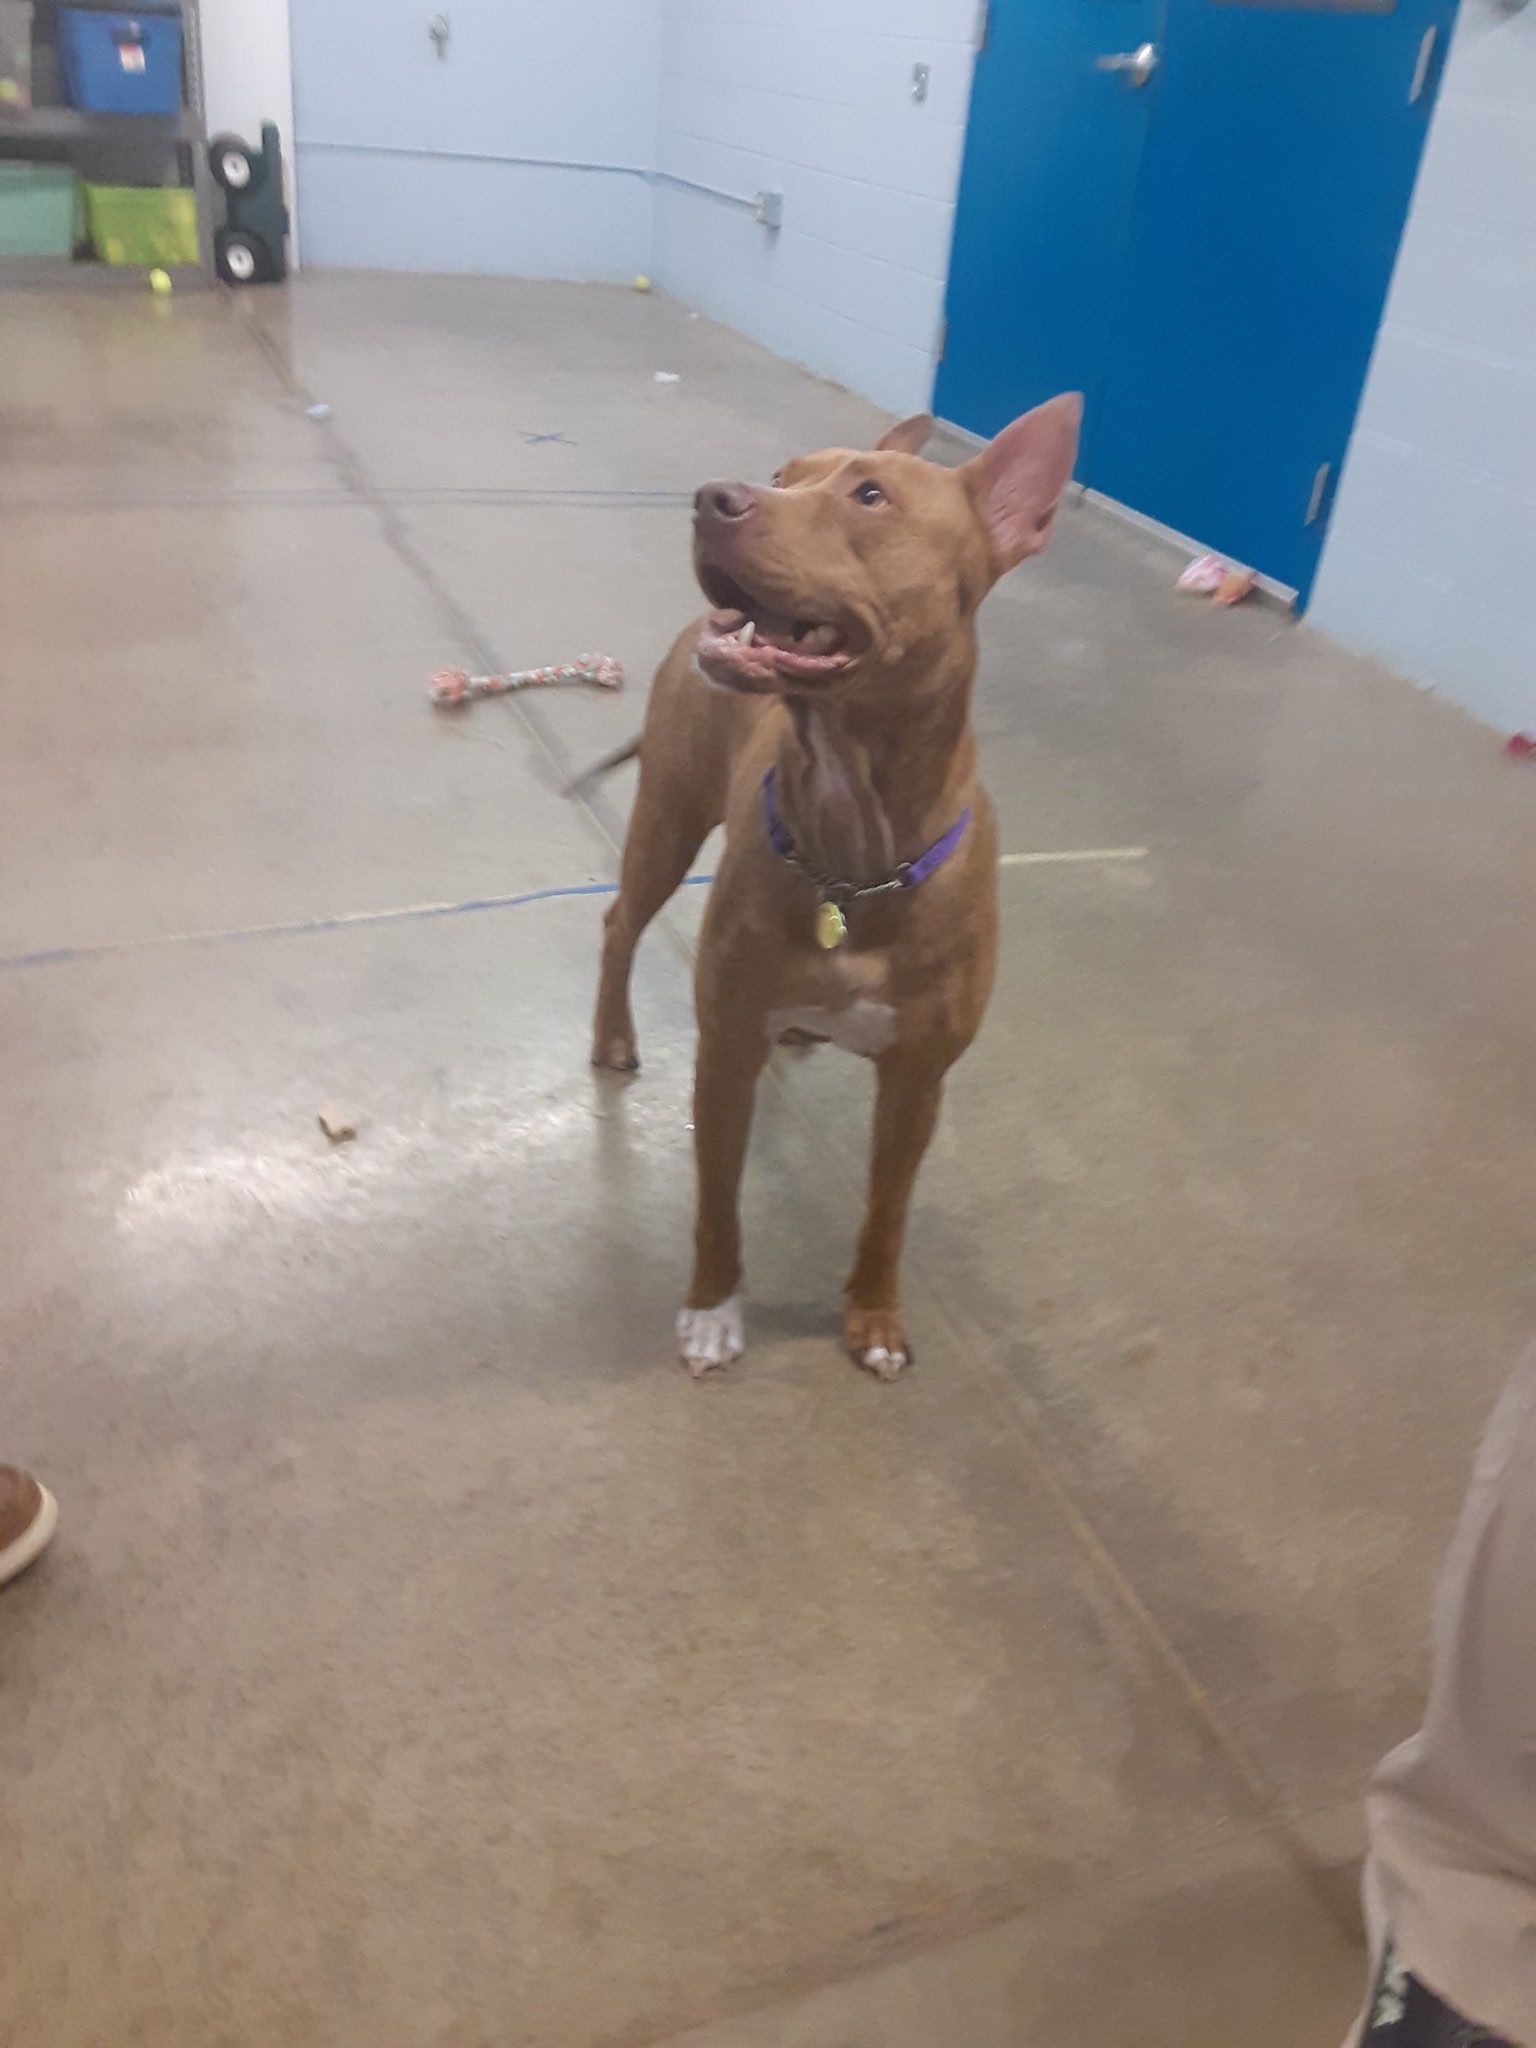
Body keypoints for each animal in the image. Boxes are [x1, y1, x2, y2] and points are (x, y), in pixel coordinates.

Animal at [590, 395, 1082, 1378]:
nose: (712, 496)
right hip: (666, 817)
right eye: (785, 476)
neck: (854, 851)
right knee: (620, 922)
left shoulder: (918, 1081)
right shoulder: (724, 1051)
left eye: (869, 496)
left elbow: (886, 1212)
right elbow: (716, 1206)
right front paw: (712, 1312)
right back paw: (612, 1036)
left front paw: (875, 1318)